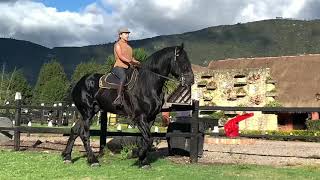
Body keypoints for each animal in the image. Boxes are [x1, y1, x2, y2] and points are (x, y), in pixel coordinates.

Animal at [61, 43, 194, 167]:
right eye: (182, 60)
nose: (191, 80)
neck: (147, 83)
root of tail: (79, 83)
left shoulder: (151, 118)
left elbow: (145, 139)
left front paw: (143, 161)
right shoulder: (140, 117)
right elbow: (148, 139)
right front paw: (140, 156)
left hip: (89, 112)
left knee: (75, 130)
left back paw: (67, 157)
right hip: (87, 112)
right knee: (84, 134)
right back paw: (93, 160)